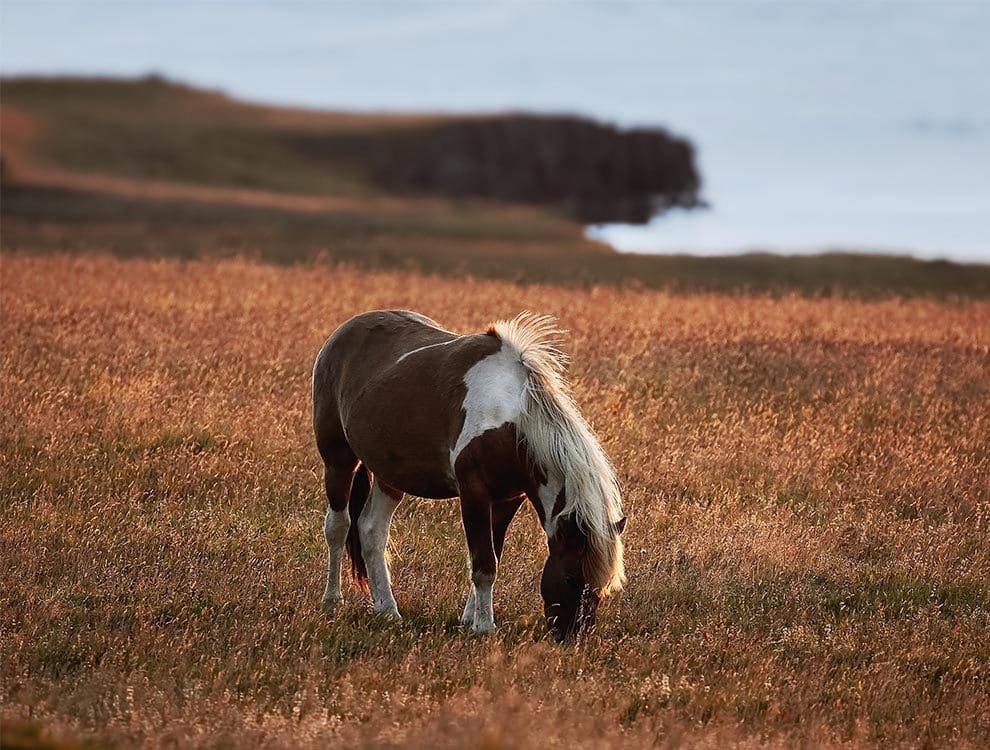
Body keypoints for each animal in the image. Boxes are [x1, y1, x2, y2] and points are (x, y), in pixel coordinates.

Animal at [314, 308, 628, 644]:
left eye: (602, 587)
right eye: (570, 577)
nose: (572, 639)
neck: (513, 421)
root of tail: (345, 331)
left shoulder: (507, 500)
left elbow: (493, 556)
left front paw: (470, 618)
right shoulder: (474, 493)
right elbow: (484, 563)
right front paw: (484, 626)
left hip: (390, 476)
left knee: (371, 531)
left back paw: (387, 610)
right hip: (339, 459)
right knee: (338, 526)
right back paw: (332, 601)